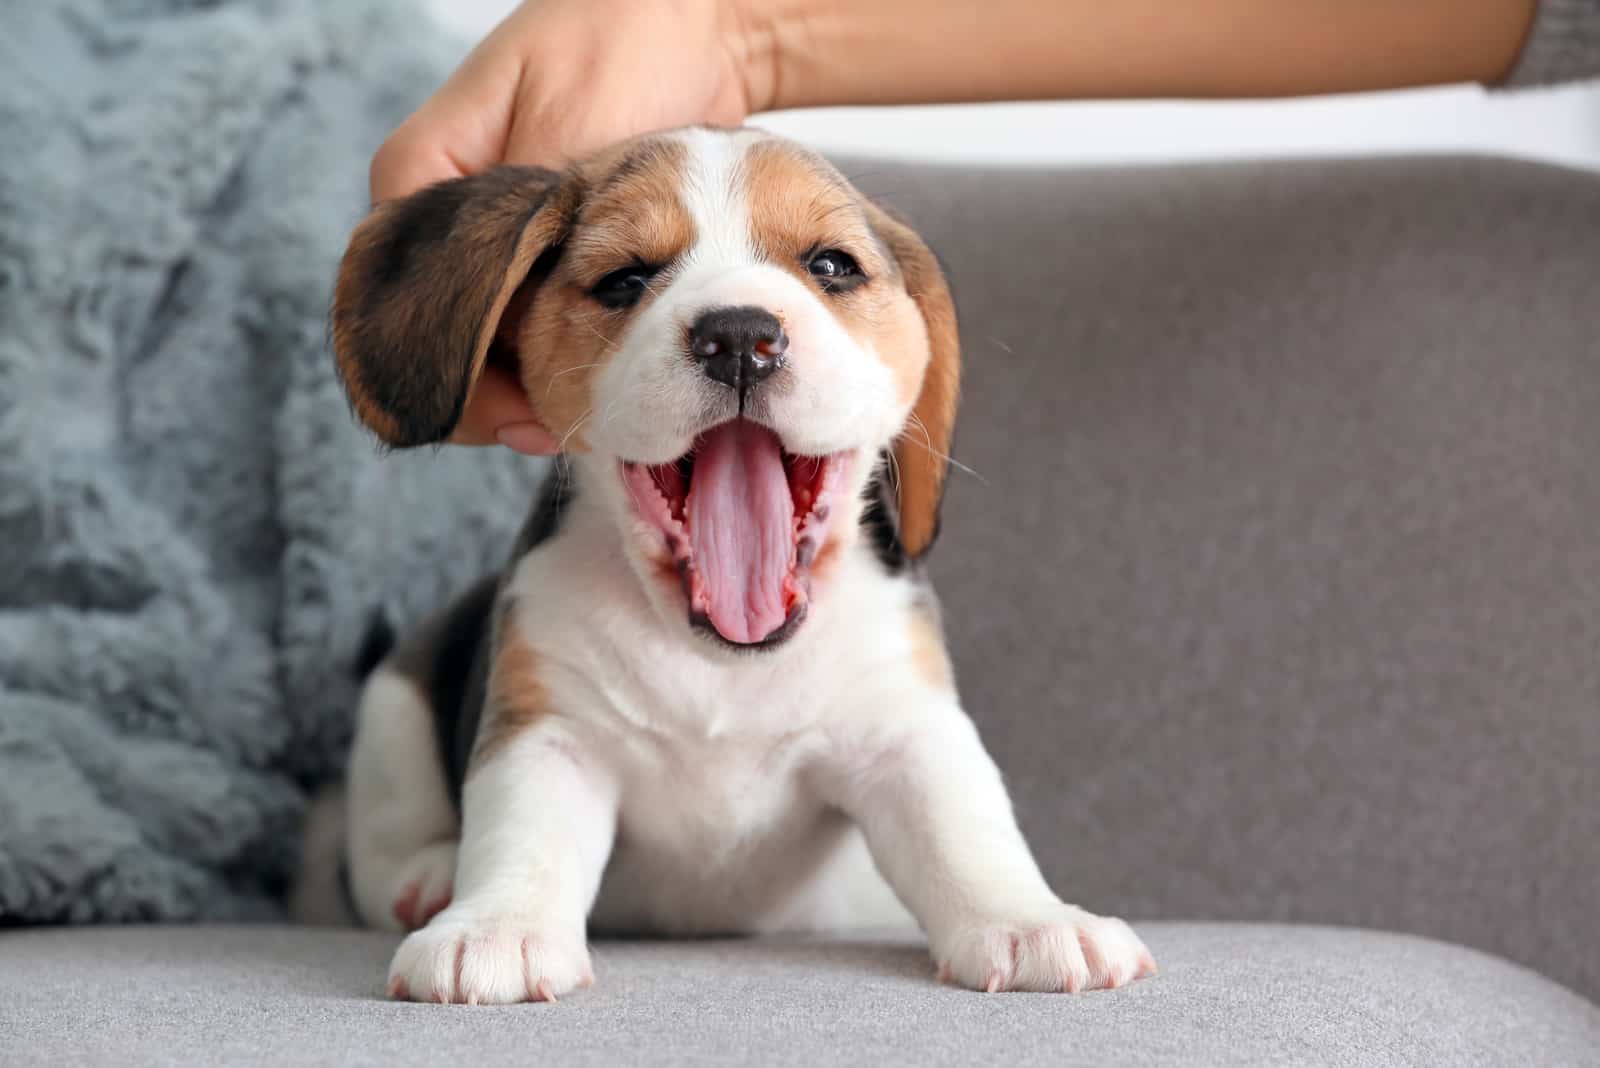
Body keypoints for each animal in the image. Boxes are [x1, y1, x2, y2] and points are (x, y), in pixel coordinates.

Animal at [321, 125, 1152, 1004]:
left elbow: (964, 825)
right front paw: (497, 928)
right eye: (625, 280)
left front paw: (1031, 921)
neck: (725, 661)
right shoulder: (550, 732)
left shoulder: (905, 727)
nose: (740, 337)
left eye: (831, 266)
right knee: (382, 840)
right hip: (393, 703)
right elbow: (522, 831)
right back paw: (429, 876)